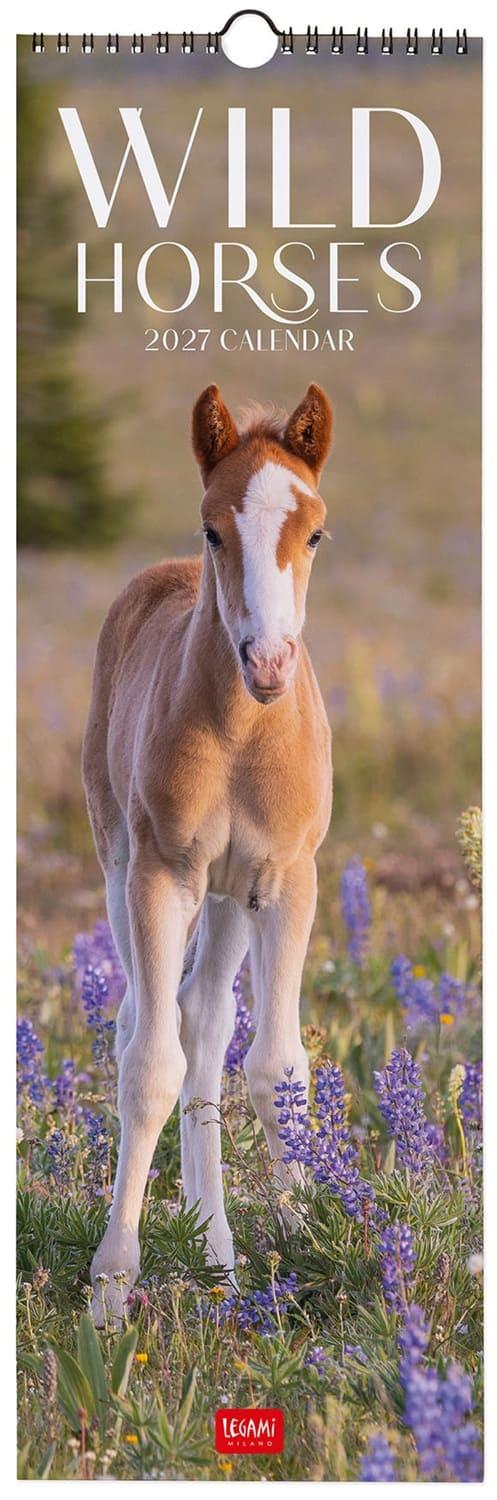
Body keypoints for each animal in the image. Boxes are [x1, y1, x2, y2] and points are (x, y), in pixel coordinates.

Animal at [83, 382, 333, 1325]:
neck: (241, 733)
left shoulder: (287, 881)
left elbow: (275, 1065)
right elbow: (148, 1066)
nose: (267, 663)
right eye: (212, 529)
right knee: (149, 1024)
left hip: (229, 897)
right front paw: (110, 1289)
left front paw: (309, 1248)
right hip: (121, 861)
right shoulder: (163, 875)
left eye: (314, 532)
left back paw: (220, 1258)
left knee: (204, 1019)